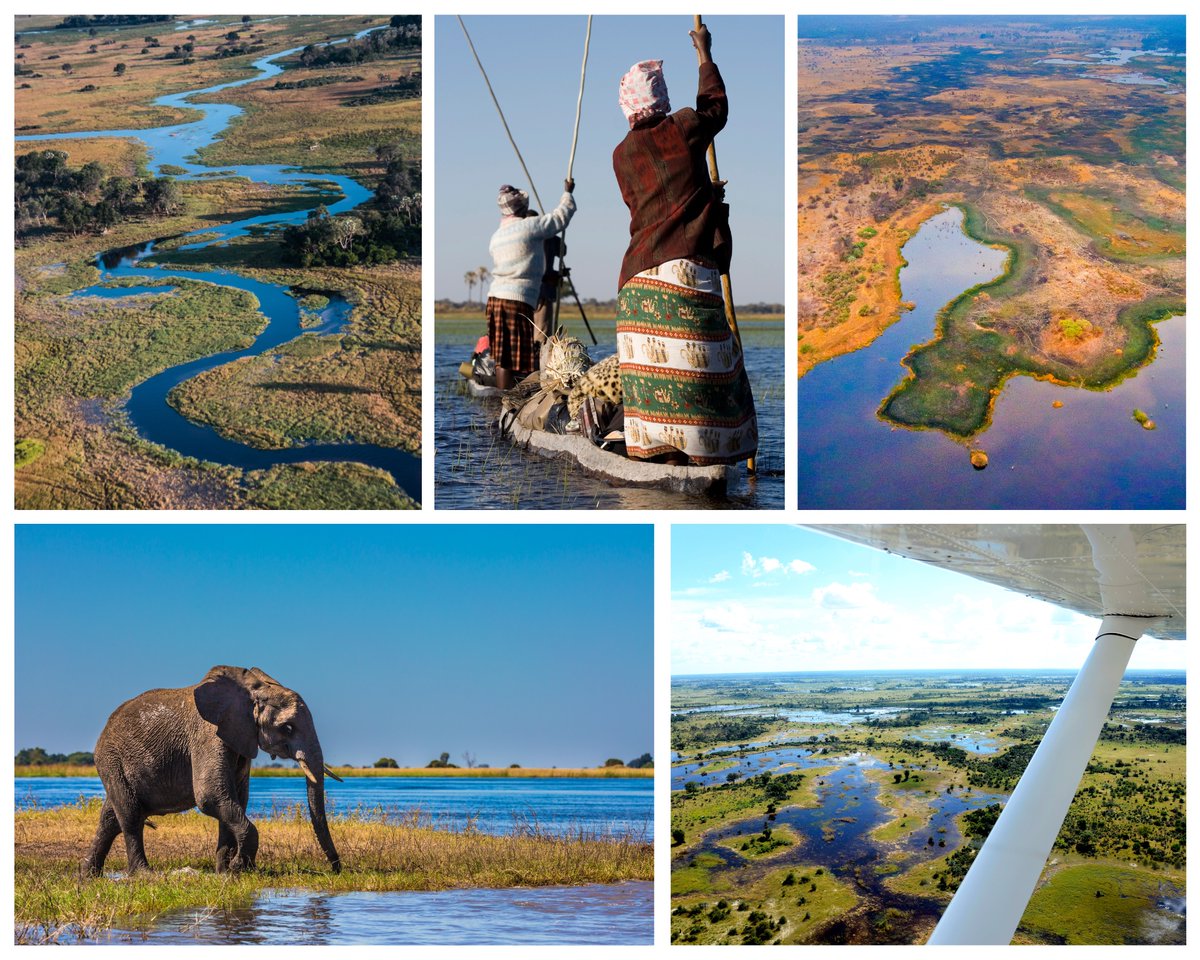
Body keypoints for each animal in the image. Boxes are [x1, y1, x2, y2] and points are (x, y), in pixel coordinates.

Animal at [82, 665, 342, 876]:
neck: (251, 690)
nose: (336, 869)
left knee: (110, 818)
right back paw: (144, 875)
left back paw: (88, 876)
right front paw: (238, 868)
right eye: (287, 728)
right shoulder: (207, 734)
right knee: (130, 816)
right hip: (111, 760)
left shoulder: (239, 737)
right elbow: (211, 796)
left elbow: (235, 799)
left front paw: (225, 873)